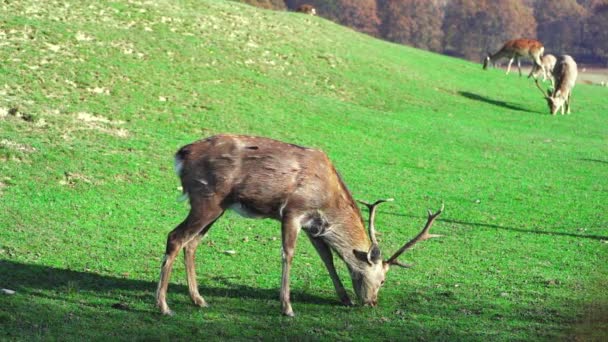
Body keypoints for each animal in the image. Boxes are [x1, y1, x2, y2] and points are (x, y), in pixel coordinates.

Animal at [156, 135, 442, 316]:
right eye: (382, 280)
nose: (371, 302)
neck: (328, 199)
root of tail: (181, 155)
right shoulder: (293, 211)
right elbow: (288, 254)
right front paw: (287, 307)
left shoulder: (312, 225)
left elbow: (327, 258)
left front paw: (345, 299)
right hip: (207, 199)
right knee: (175, 237)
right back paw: (164, 305)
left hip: (218, 207)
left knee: (192, 243)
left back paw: (198, 300)